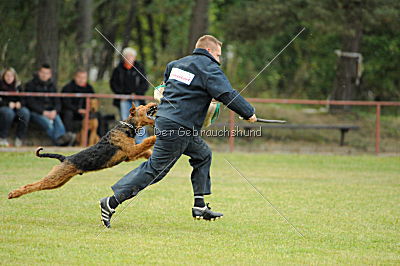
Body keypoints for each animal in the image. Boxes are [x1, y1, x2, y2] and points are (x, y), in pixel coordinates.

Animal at [7, 102, 158, 200]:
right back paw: (13, 194)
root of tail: (64, 158)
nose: (153, 104)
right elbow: (146, 142)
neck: (127, 127)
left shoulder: (128, 155)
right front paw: (156, 137)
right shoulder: (131, 150)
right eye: (142, 107)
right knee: (33, 185)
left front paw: (150, 155)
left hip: (58, 182)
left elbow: (144, 151)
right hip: (54, 178)